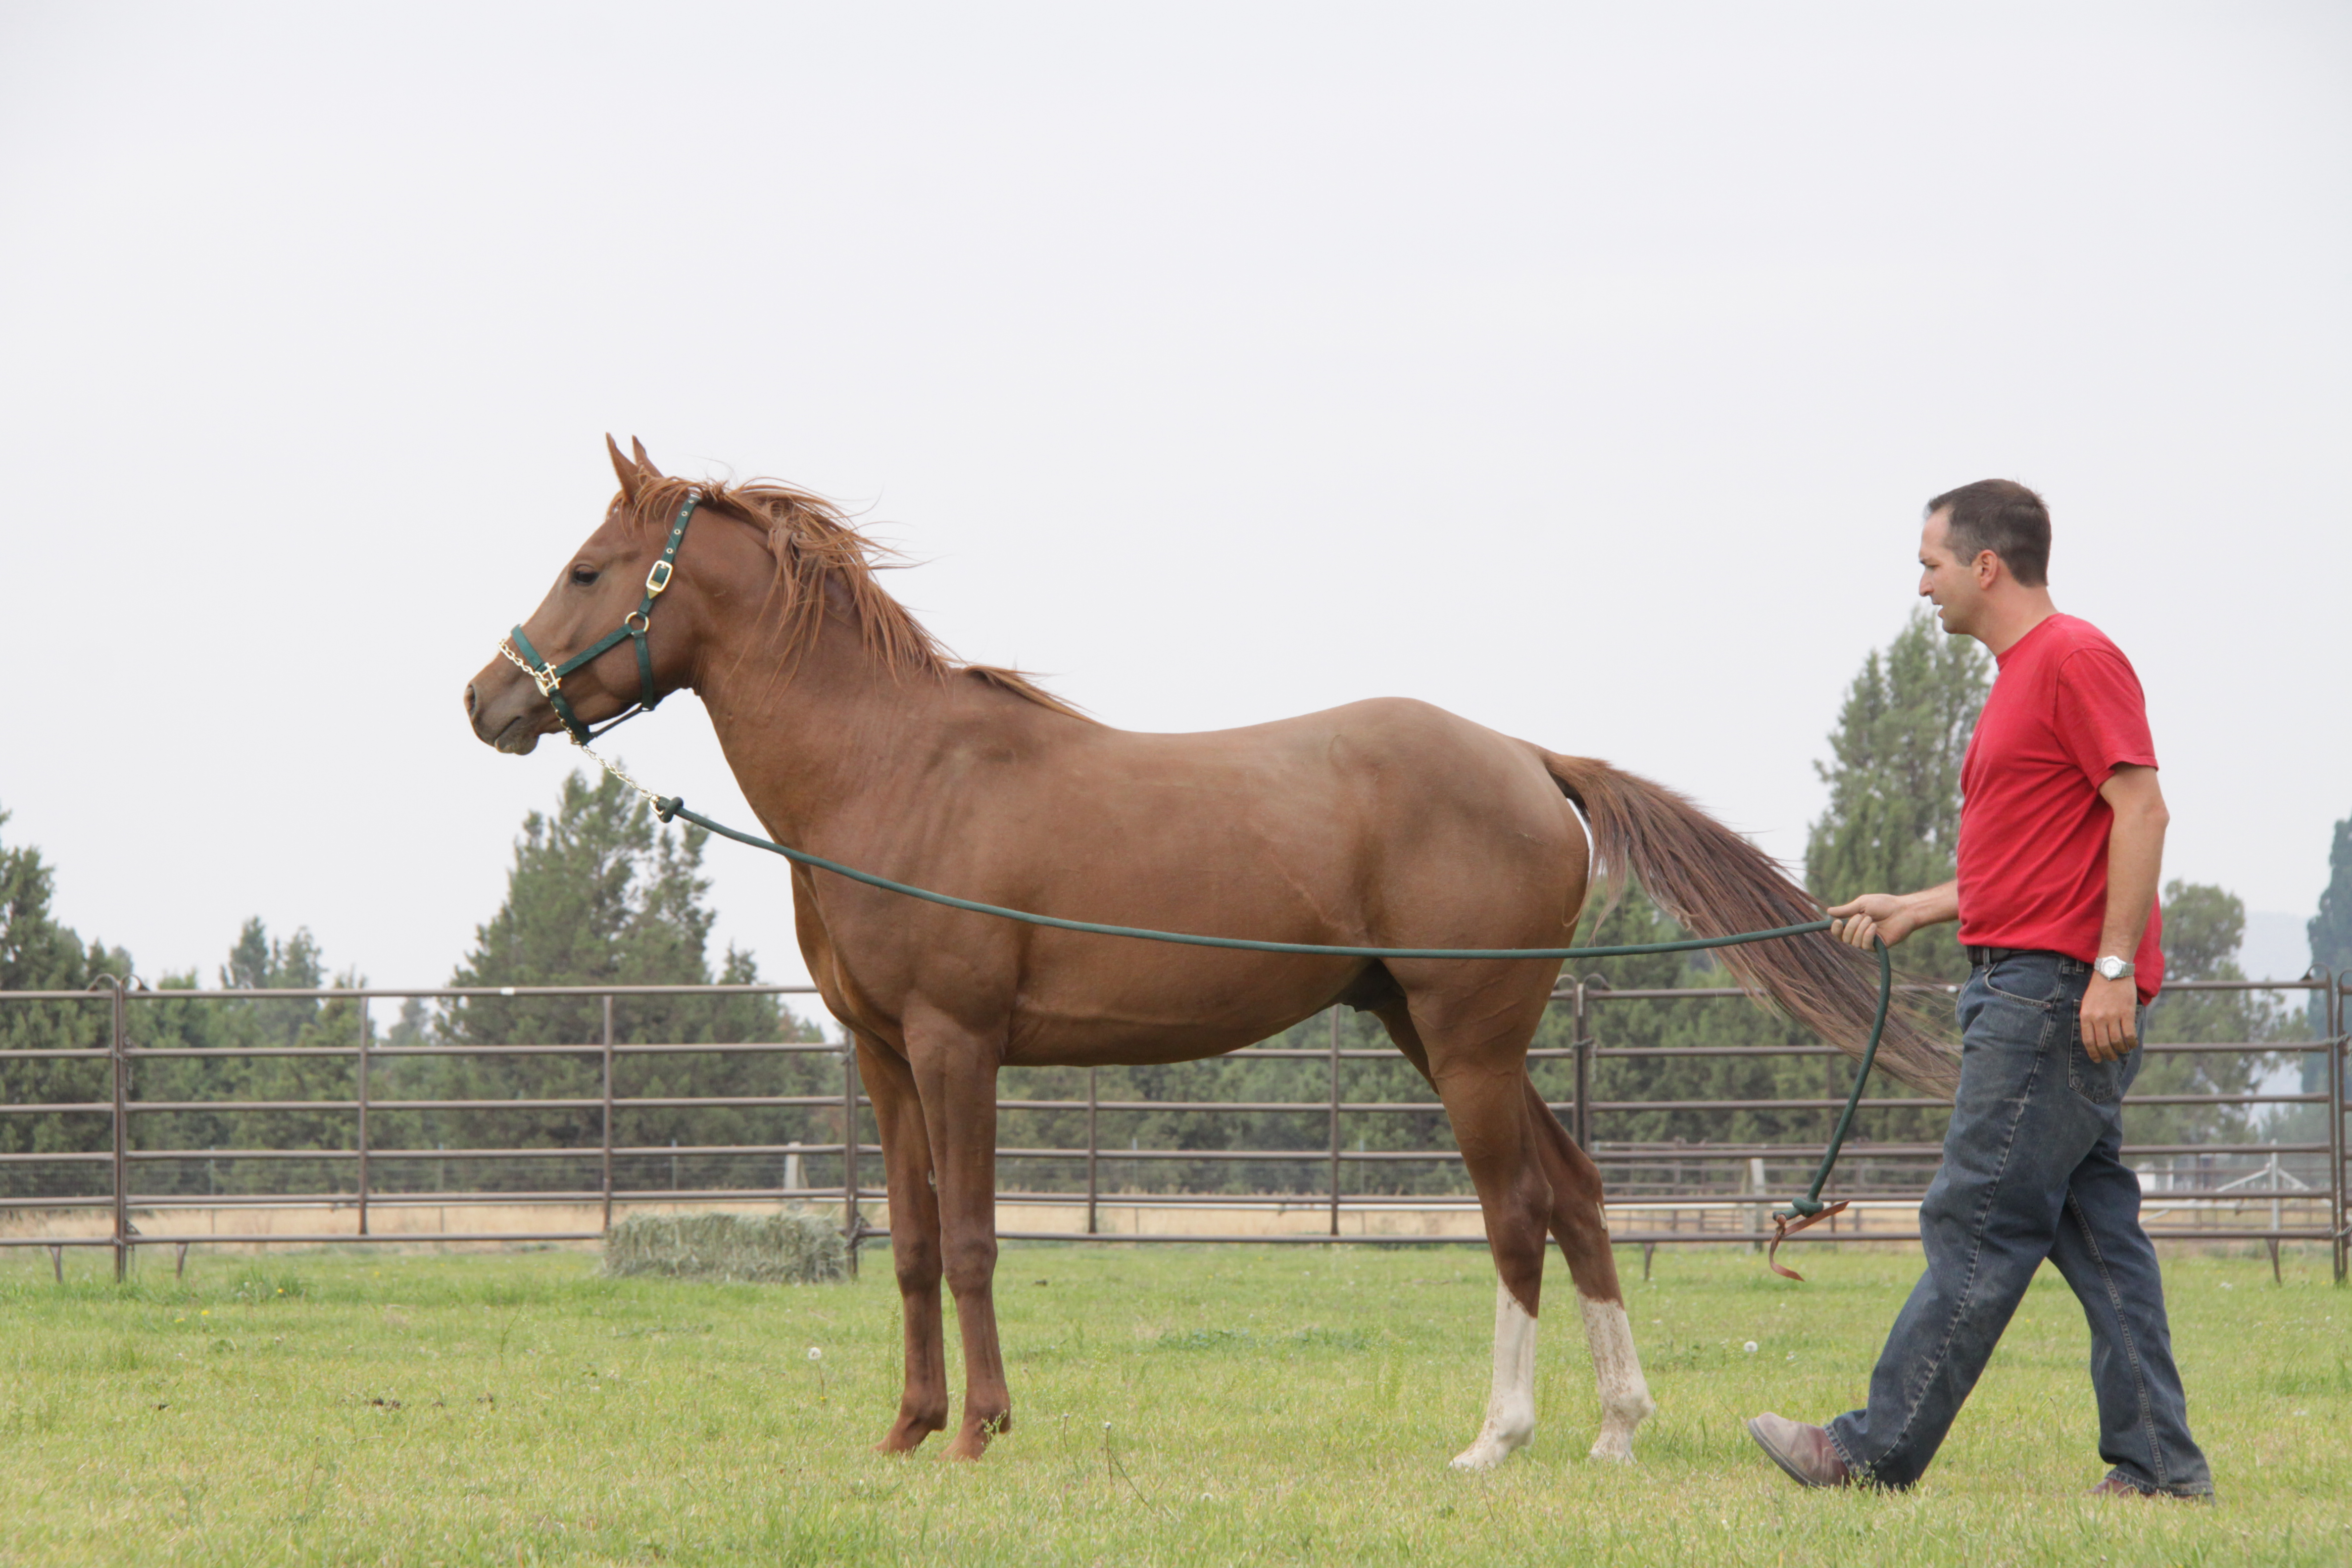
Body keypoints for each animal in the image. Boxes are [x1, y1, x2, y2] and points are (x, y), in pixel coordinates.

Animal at [465, 438, 1955, 1468]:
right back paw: (1616, 1426)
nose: (486, 699)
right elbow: (907, 1246)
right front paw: (905, 1430)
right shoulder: (883, 1058)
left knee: (1518, 1210)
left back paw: (1498, 1438)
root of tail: (1530, 759)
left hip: (1466, 1040)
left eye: (589, 569)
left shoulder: (958, 1047)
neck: (897, 771)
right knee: (1581, 1195)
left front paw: (978, 1432)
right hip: (1435, 1032)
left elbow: (974, 1243)